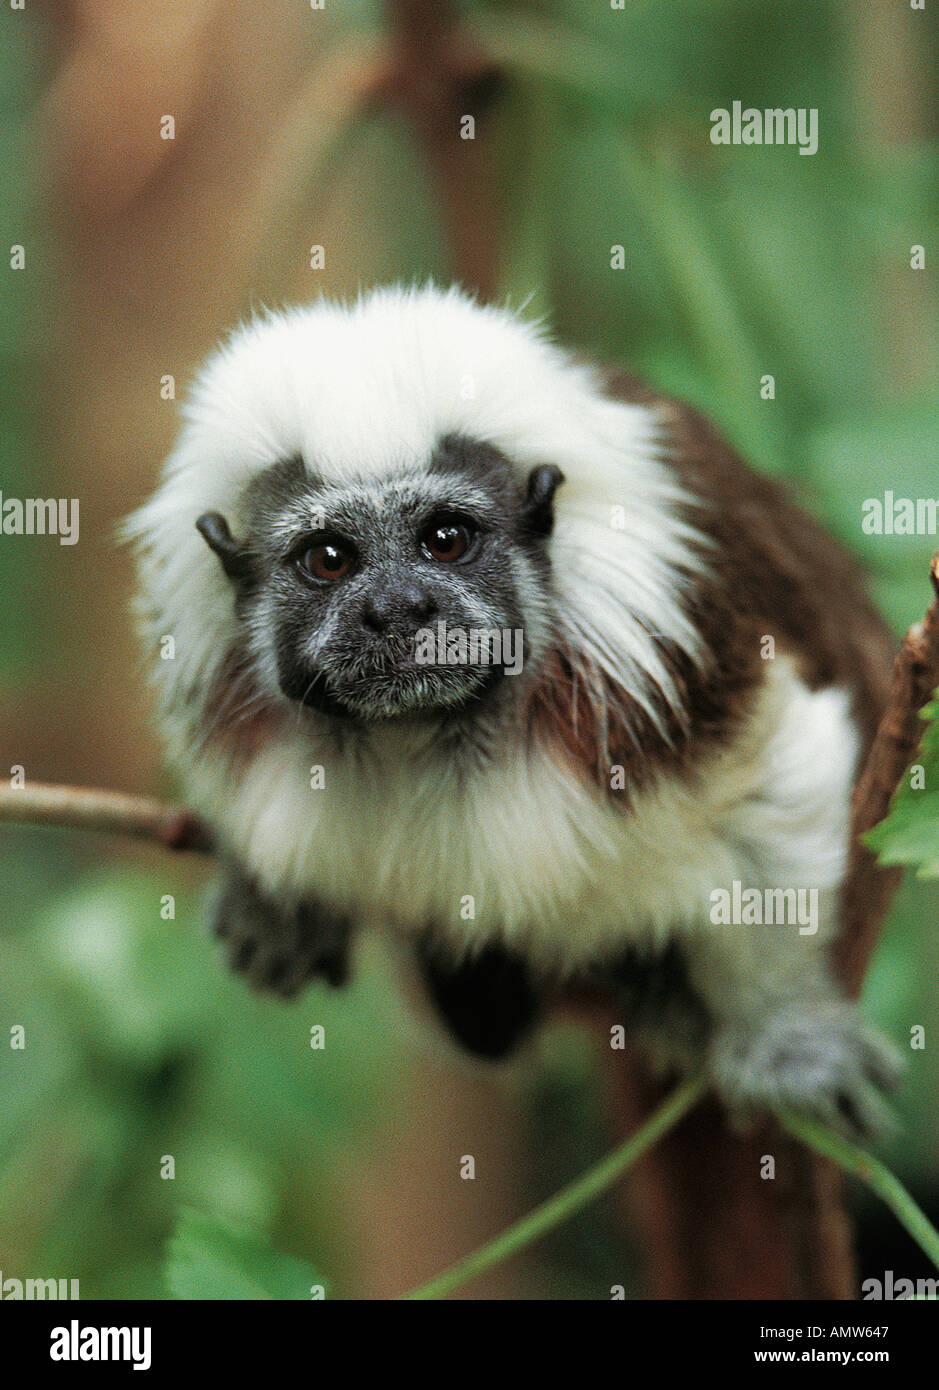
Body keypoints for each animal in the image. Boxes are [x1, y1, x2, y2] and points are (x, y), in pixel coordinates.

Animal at [126, 282, 900, 1139]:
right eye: (327, 560)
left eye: (446, 540)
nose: (399, 609)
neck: (417, 732)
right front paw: (269, 900)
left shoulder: (673, 665)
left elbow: (774, 776)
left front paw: (783, 1031)